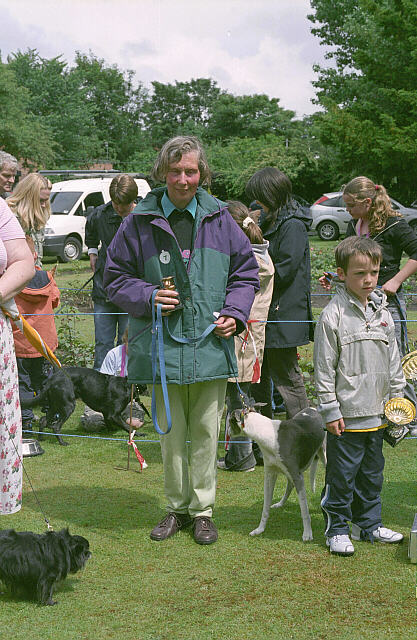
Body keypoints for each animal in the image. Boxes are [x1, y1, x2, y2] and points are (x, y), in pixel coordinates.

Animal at [229, 403, 326, 541]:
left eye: (229, 420)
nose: (228, 434)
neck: (269, 434)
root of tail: (314, 406)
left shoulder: (298, 476)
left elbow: (304, 509)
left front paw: (307, 533)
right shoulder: (270, 475)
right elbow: (265, 507)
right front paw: (260, 529)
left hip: (324, 456)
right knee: (290, 485)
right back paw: (280, 503)